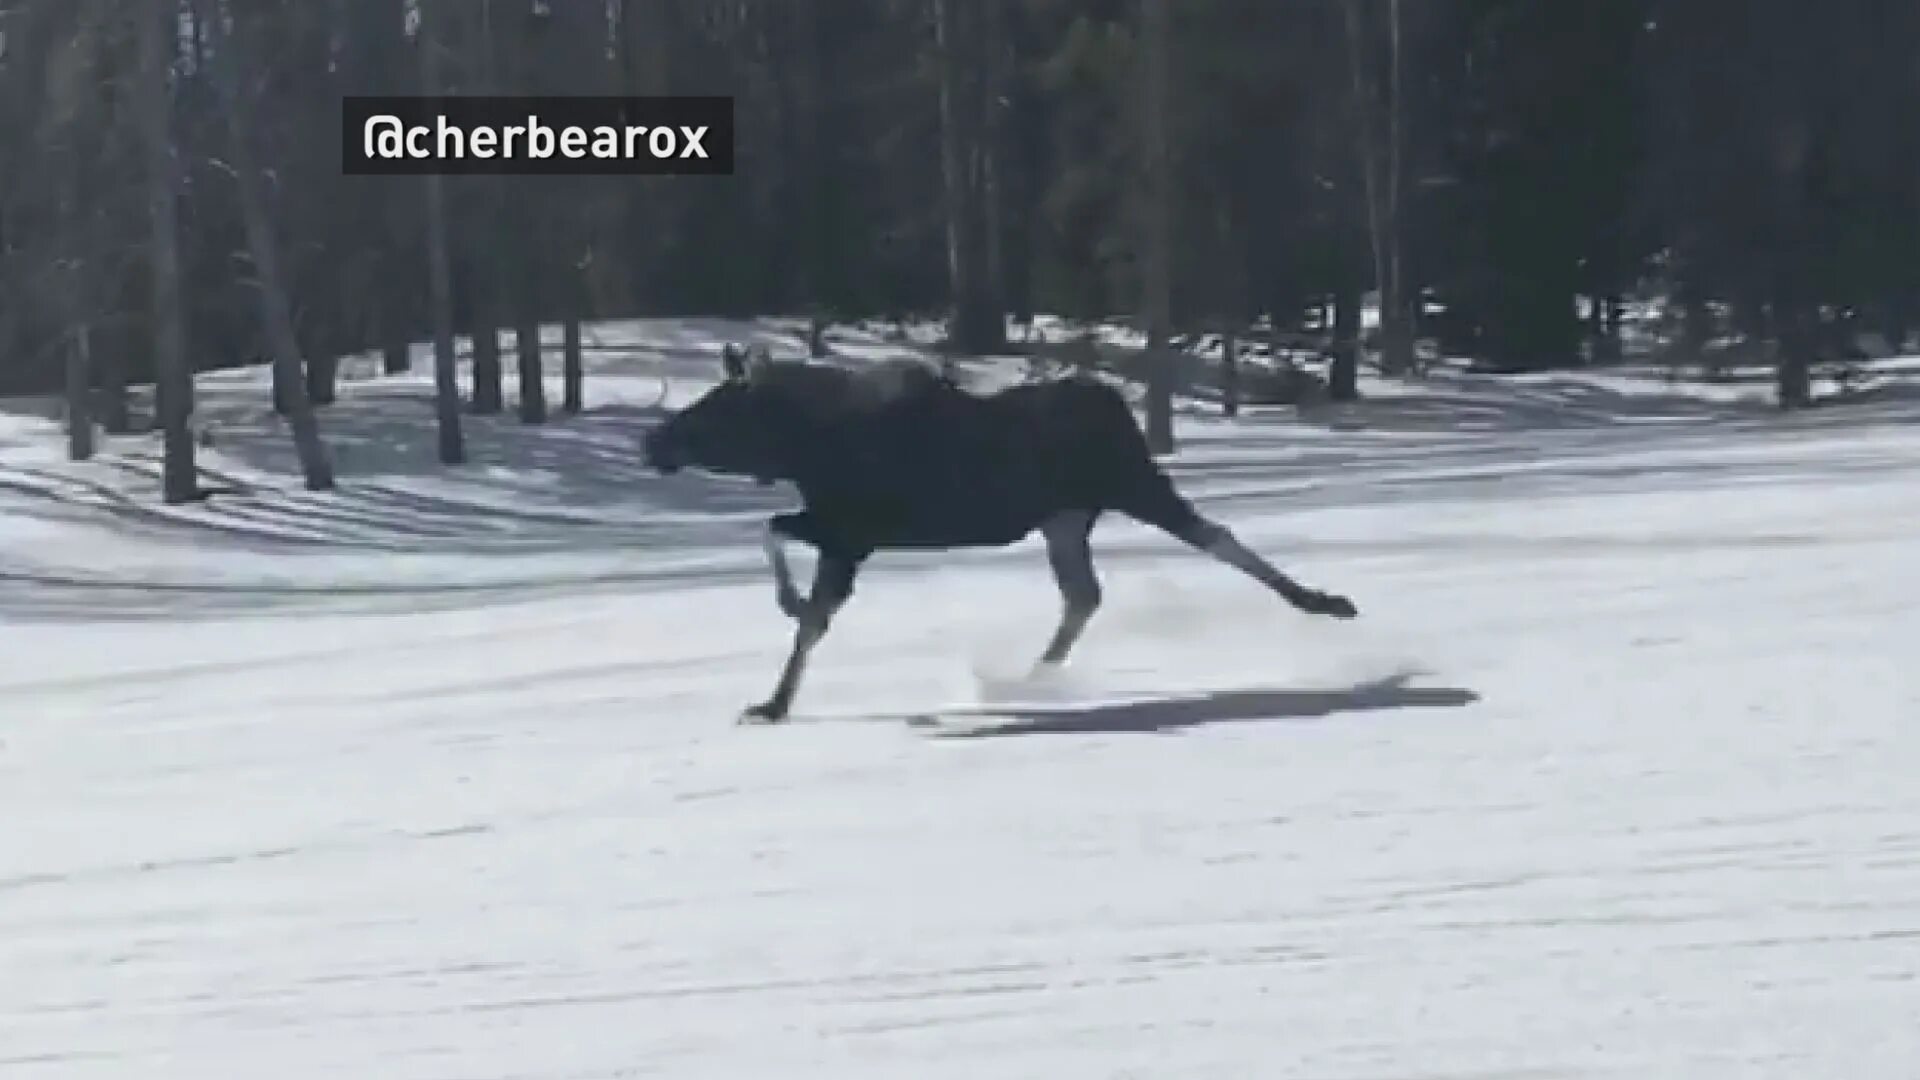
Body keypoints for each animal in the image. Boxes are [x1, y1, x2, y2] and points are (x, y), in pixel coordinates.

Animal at [648, 353, 1367, 718]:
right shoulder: (844, 538)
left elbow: (792, 576)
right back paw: (1032, 676)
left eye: (714, 408)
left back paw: (1324, 601)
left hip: (1131, 485)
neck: (799, 443)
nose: (654, 441)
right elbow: (807, 605)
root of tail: (1118, 407)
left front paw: (783, 639)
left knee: (1213, 535)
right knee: (1083, 594)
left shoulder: (851, 533)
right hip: (1065, 517)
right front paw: (774, 699)